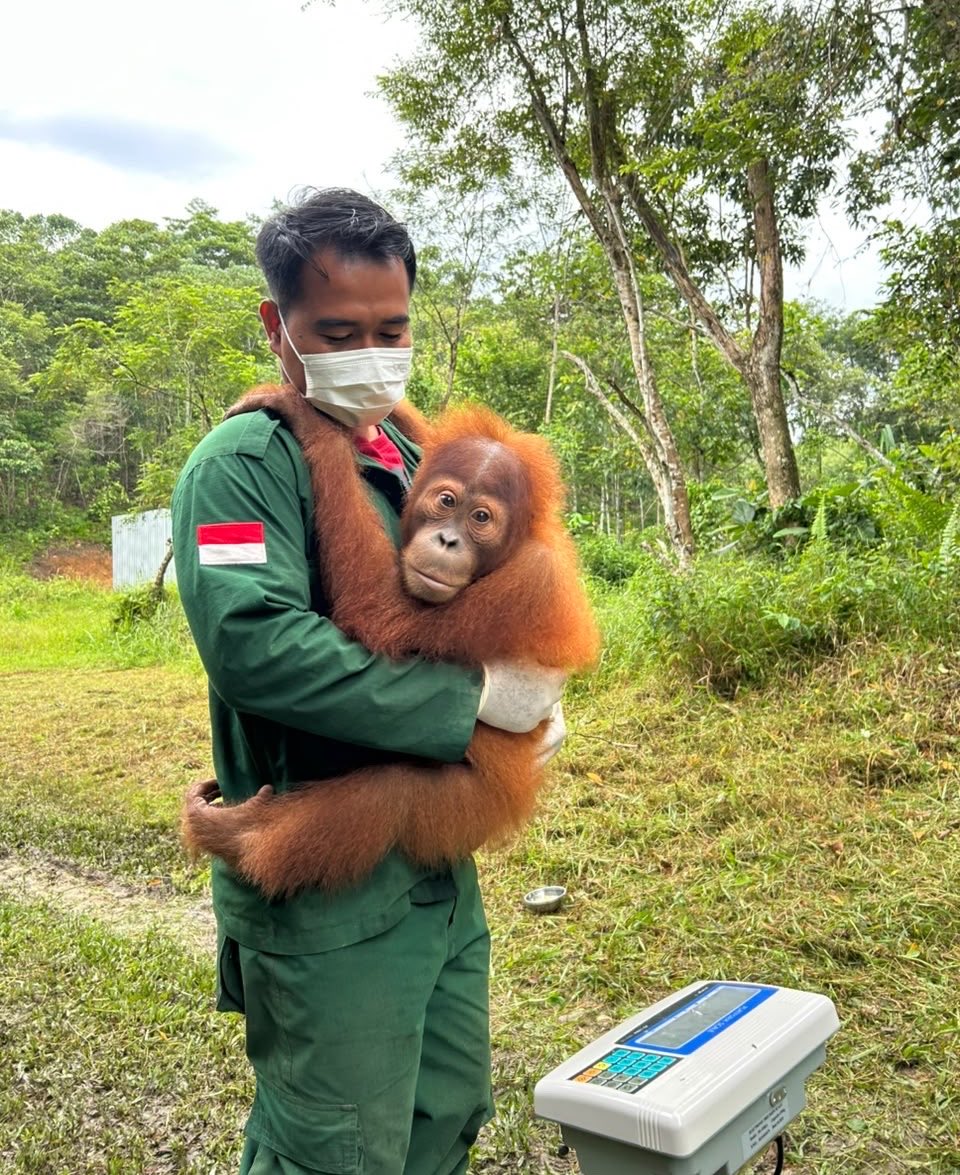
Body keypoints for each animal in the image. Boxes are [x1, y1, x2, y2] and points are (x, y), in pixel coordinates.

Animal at [181, 388, 600, 898]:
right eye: (446, 501)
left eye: (481, 518)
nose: (448, 540)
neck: (516, 549)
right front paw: (386, 410)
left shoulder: (529, 586)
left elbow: (381, 619)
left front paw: (306, 417)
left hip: (474, 805)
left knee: (391, 796)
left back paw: (237, 838)